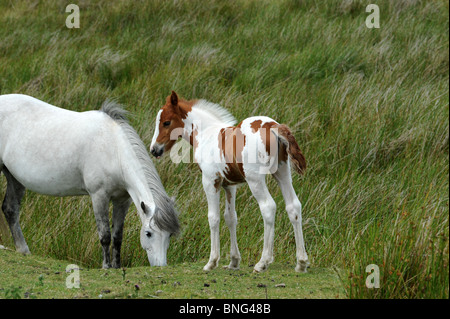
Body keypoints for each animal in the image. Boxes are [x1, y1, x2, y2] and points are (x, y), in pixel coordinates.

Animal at [0, 94, 179, 268]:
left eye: (169, 234)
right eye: (148, 233)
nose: (160, 265)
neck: (114, 150)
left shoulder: (122, 200)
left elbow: (117, 237)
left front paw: (117, 266)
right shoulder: (99, 196)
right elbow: (105, 235)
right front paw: (106, 266)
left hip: (14, 178)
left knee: (10, 210)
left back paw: (23, 250)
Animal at [149, 92, 308, 272]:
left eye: (166, 122)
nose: (154, 150)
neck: (205, 135)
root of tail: (273, 126)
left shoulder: (210, 181)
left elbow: (213, 218)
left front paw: (211, 262)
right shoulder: (230, 186)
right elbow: (230, 218)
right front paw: (233, 261)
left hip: (255, 179)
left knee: (268, 207)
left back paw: (263, 262)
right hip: (282, 173)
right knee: (293, 206)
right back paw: (301, 262)